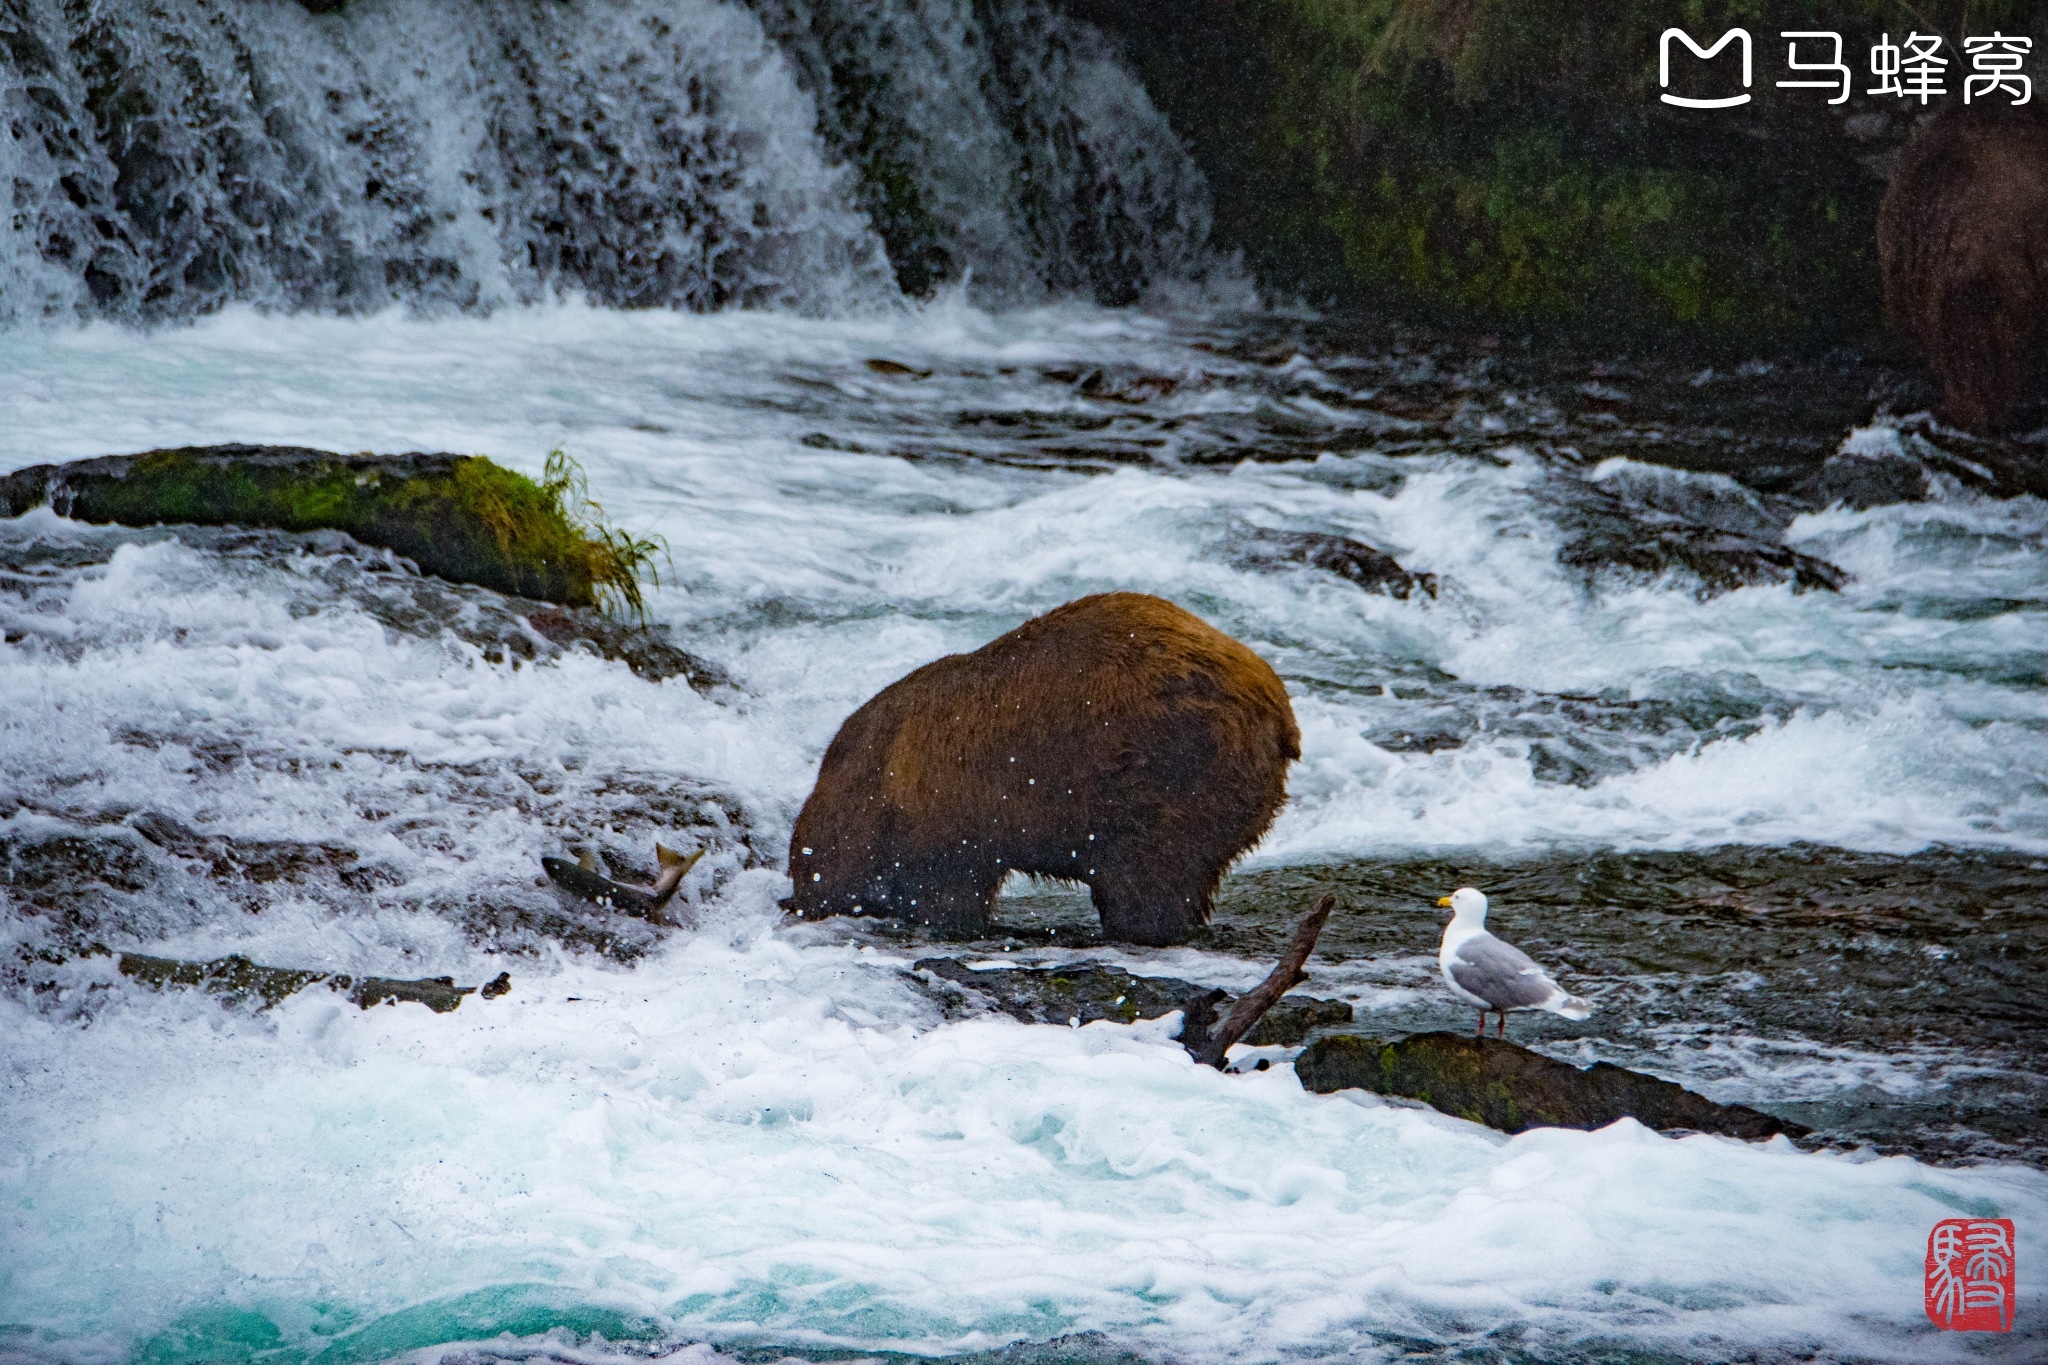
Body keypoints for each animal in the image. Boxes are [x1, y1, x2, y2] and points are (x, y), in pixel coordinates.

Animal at [782, 593, 1294, 945]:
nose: (799, 901)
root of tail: (1276, 710)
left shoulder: (950, 812)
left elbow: (948, 888)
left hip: (1171, 774)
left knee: (1150, 874)